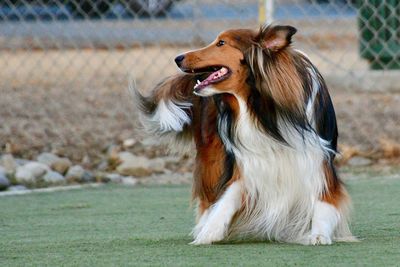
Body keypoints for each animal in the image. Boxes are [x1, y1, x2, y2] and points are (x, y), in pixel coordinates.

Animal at [133, 24, 354, 246]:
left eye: (221, 43)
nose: (178, 58)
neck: (261, 110)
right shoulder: (248, 161)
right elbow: (228, 196)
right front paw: (210, 231)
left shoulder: (317, 159)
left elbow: (325, 200)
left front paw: (319, 234)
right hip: (213, 154)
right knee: (208, 195)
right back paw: (204, 223)